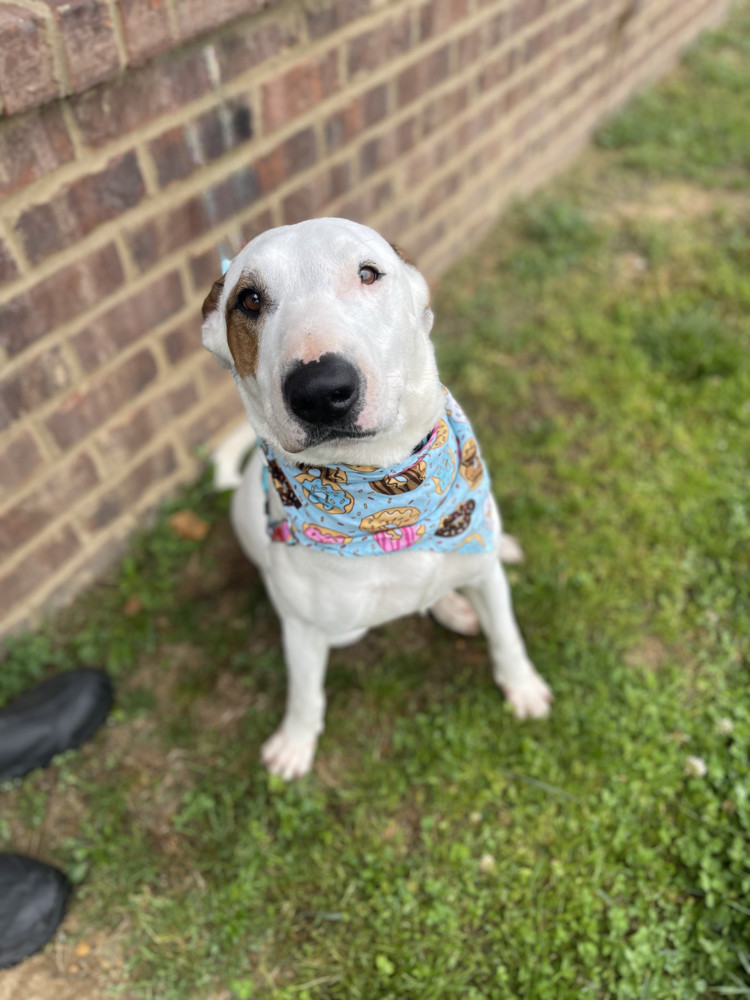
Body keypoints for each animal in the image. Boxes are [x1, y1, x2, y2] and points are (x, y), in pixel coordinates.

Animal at [200, 219, 552, 780]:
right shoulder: (304, 629)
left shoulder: (483, 570)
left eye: (368, 273)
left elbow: (506, 634)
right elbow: (305, 692)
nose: (320, 390)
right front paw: (295, 743)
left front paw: (522, 686)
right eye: (248, 300)